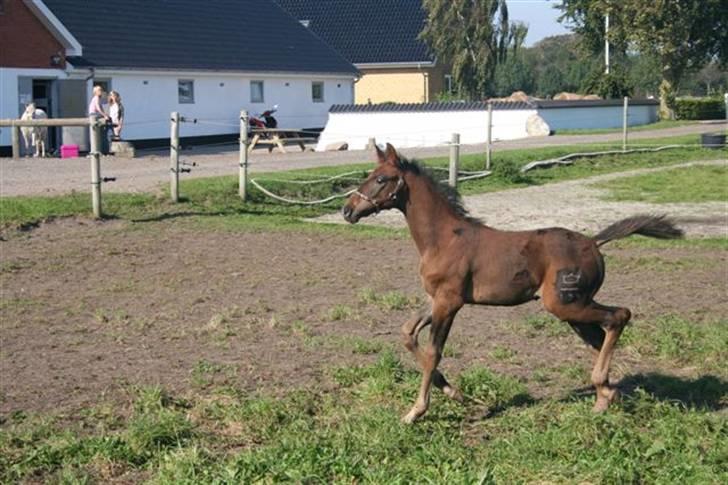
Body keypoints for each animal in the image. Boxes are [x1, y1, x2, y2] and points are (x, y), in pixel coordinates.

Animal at [342, 142, 684, 422]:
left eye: (381, 179)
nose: (347, 210)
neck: (444, 239)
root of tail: (593, 242)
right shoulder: (436, 299)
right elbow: (408, 334)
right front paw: (457, 394)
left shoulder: (449, 302)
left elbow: (433, 353)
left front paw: (416, 411)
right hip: (574, 308)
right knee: (602, 336)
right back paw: (606, 397)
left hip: (565, 305)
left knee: (619, 316)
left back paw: (603, 388)